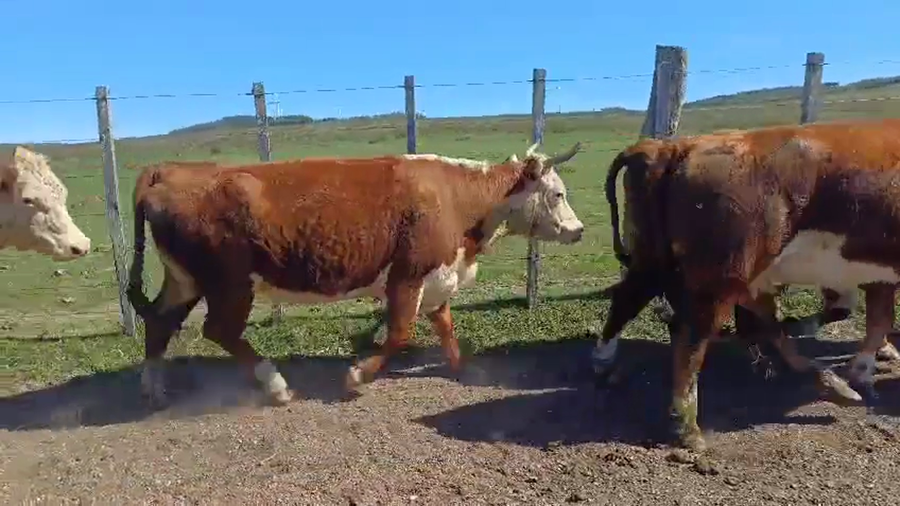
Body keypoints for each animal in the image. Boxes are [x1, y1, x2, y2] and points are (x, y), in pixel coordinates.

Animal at [126, 143, 585, 407]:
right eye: (557, 193)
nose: (578, 230)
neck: (457, 197)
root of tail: (169, 170)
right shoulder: (407, 276)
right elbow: (400, 333)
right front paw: (356, 376)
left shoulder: (438, 277)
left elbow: (446, 327)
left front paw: (465, 370)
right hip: (231, 284)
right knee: (218, 330)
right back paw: (275, 385)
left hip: (185, 279)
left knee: (160, 322)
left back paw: (153, 389)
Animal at [591, 118, 900, 451]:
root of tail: (677, 146)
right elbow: (875, 320)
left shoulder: (876, 276)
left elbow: (877, 319)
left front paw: (864, 370)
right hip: (722, 275)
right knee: (691, 337)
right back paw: (687, 427)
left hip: (657, 259)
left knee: (630, 298)